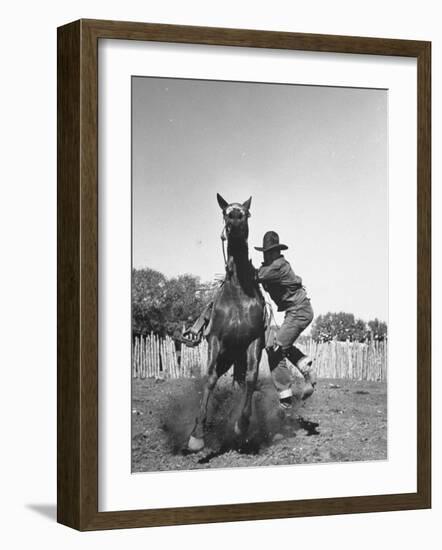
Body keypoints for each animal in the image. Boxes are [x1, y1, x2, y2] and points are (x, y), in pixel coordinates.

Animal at [187, 194, 266, 452]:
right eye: (225, 212)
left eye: (246, 212)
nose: (235, 218)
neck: (238, 294)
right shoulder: (216, 339)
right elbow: (210, 378)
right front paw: (197, 435)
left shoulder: (254, 341)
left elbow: (251, 378)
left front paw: (242, 425)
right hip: (226, 356)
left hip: (237, 357)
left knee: (243, 381)